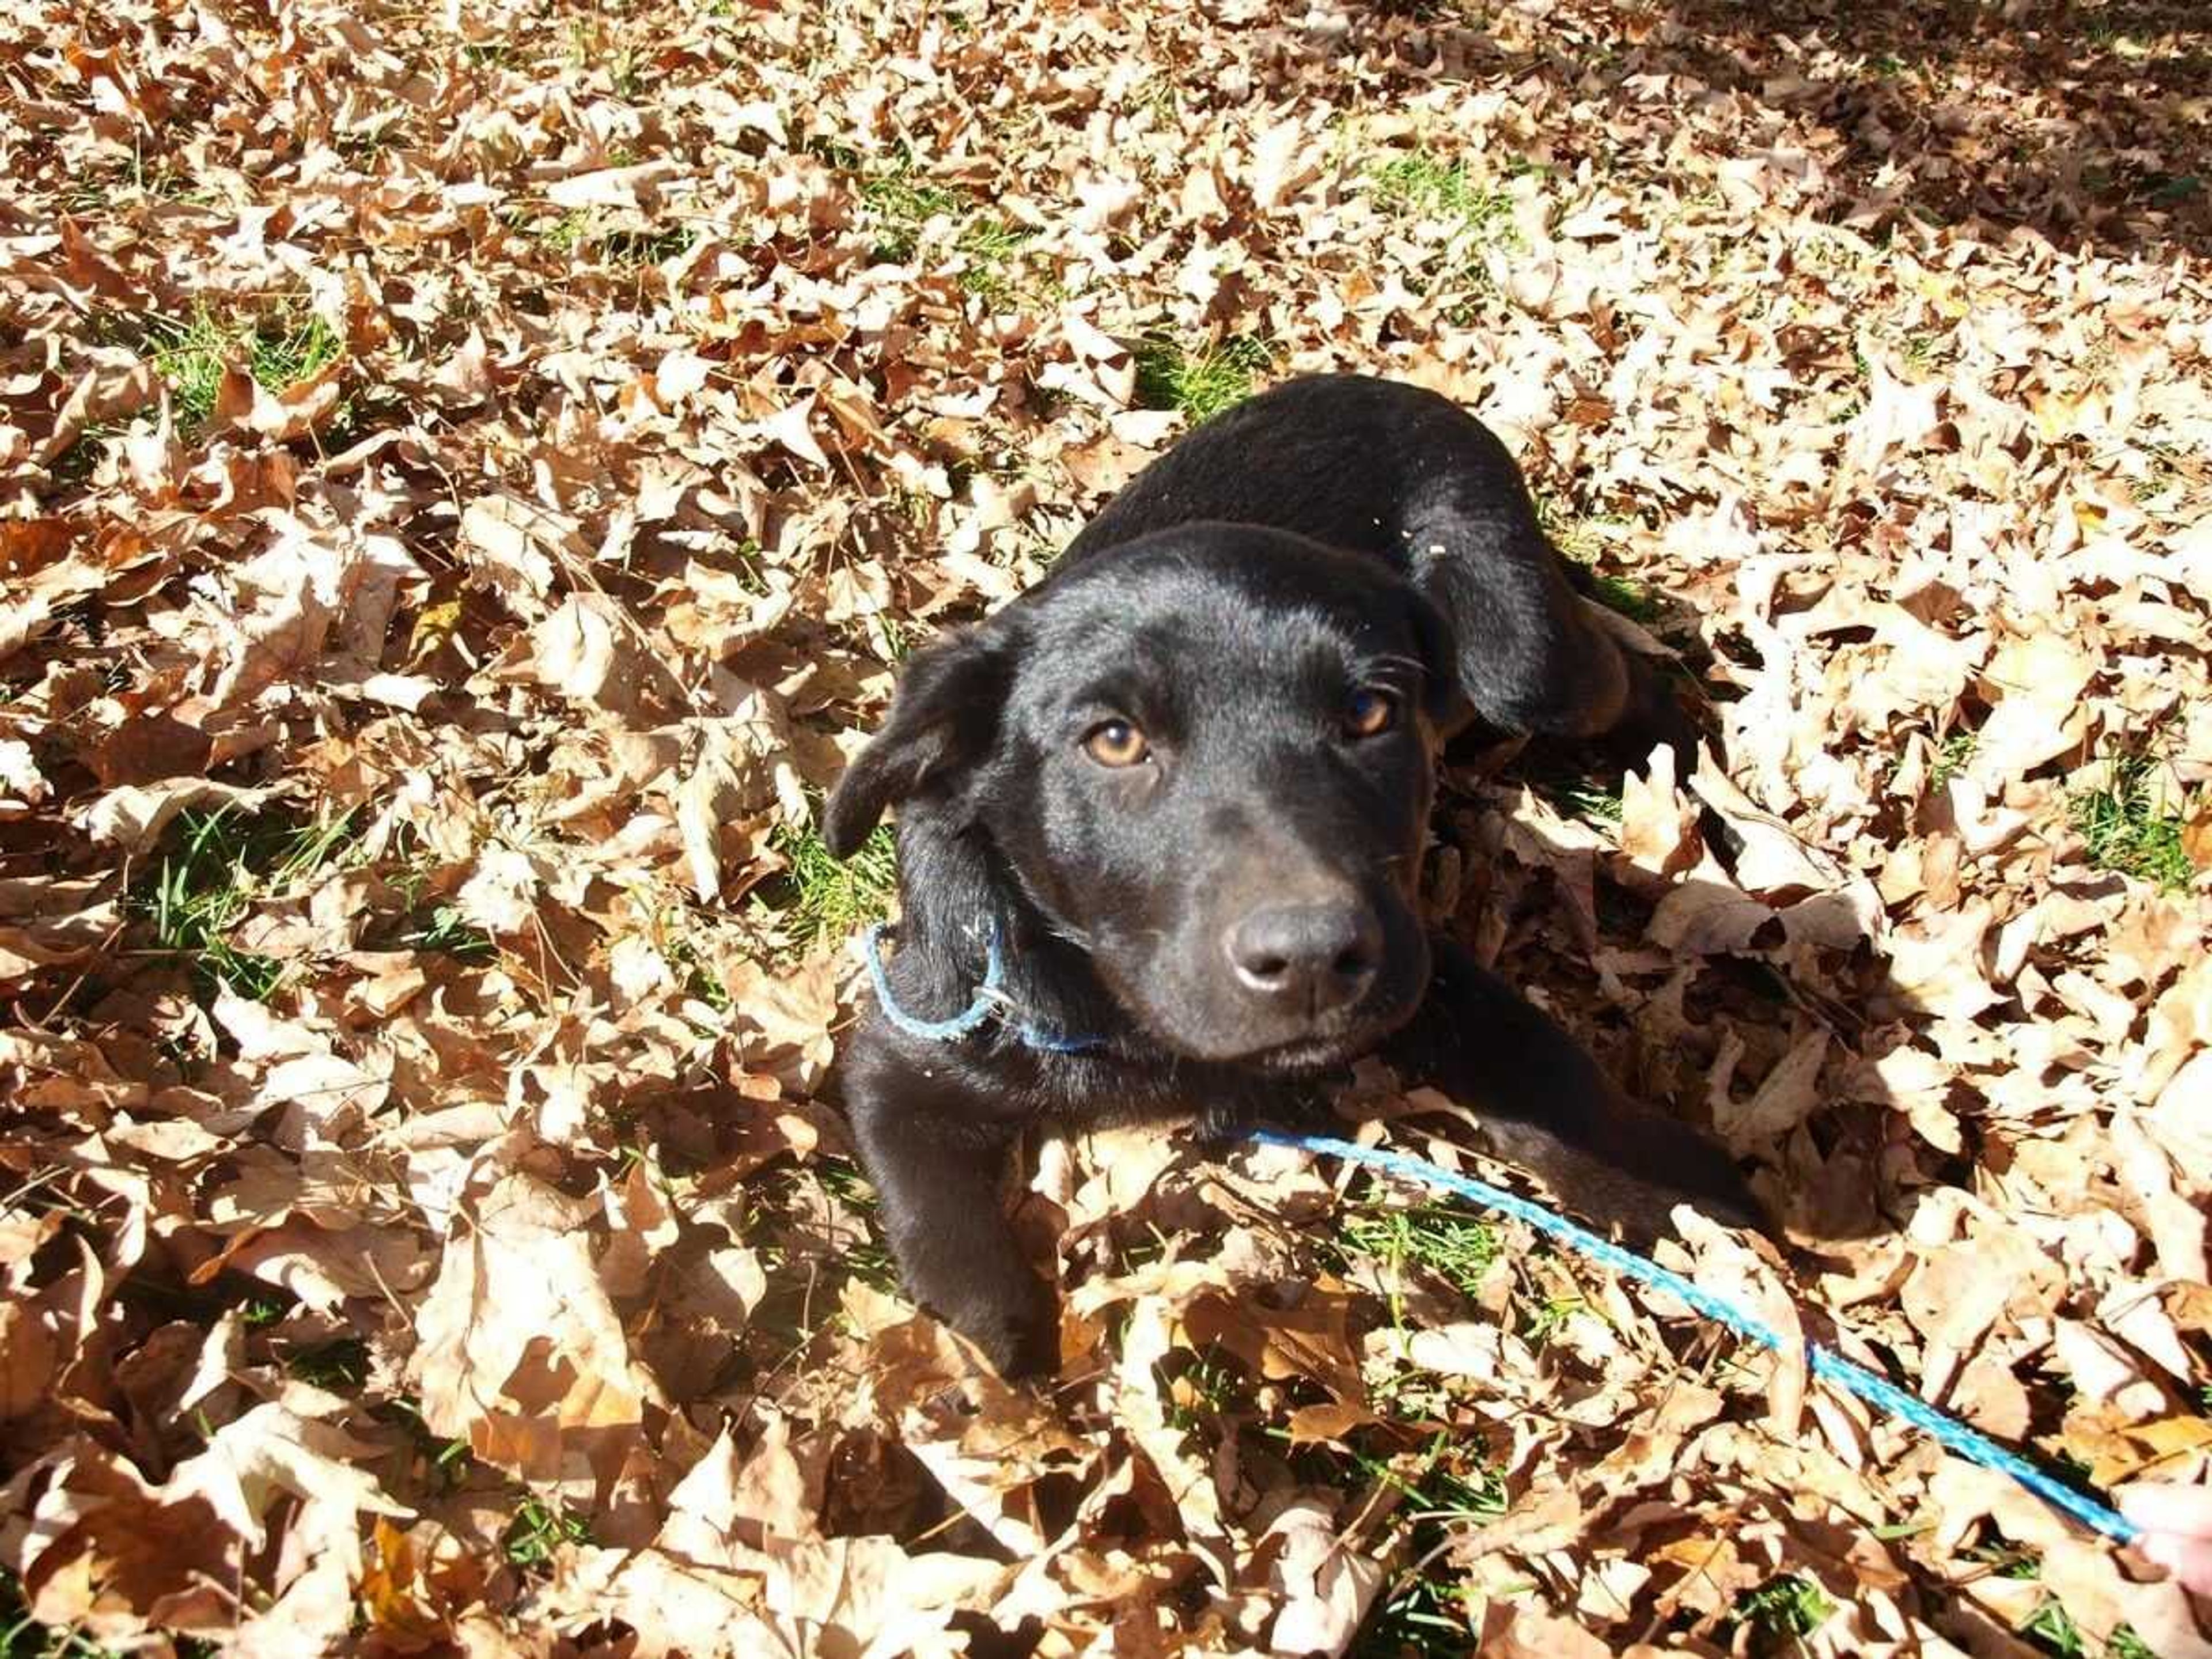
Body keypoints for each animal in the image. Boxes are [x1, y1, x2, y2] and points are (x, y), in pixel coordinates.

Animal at [827, 373, 1760, 1380]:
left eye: (1370, 713)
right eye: (1113, 739)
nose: (1313, 958)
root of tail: (1384, 384)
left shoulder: (1422, 962)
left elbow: (1556, 1077)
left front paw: (1692, 1194)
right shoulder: (910, 1048)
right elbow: (947, 1244)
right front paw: (999, 1362)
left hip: (1523, 657)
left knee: (1625, 674)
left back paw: (1680, 768)